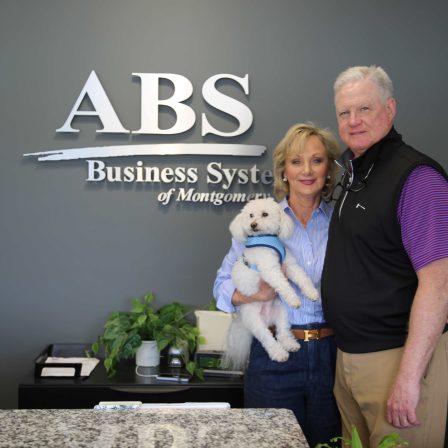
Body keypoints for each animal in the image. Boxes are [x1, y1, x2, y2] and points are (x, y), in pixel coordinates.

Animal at [223, 198, 318, 370]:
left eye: (265, 214)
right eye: (250, 215)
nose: (253, 224)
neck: (266, 237)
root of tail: (268, 321)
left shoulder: (289, 264)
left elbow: (302, 277)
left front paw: (312, 293)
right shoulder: (270, 269)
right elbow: (283, 284)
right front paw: (294, 300)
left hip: (282, 313)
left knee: (282, 332)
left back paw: (289, 344)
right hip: (255, 322)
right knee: (268, 339)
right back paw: (279, 353)